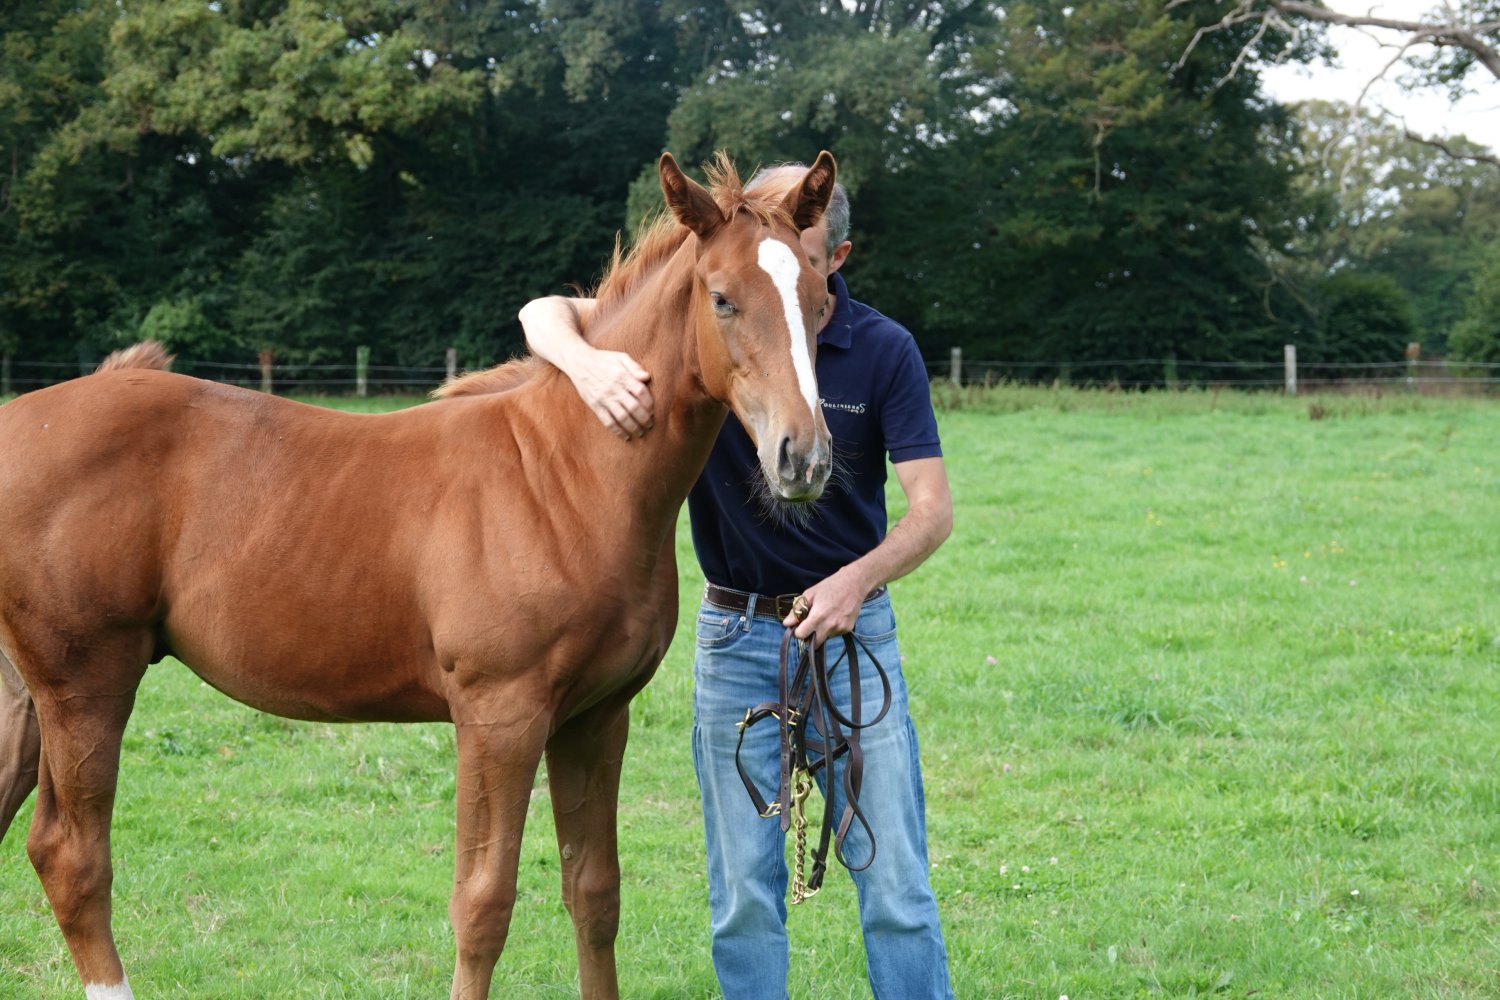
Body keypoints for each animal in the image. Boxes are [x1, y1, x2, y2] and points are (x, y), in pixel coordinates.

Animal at [0, 150, 837, 1000]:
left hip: (32, 698)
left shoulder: (597, 717)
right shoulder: (499, 717)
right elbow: (483, 904)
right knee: (72, 857)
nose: (802, 458)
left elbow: (594, 892)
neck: (567, 474)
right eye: (722, 298)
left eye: (819, 297)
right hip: (87, 684)